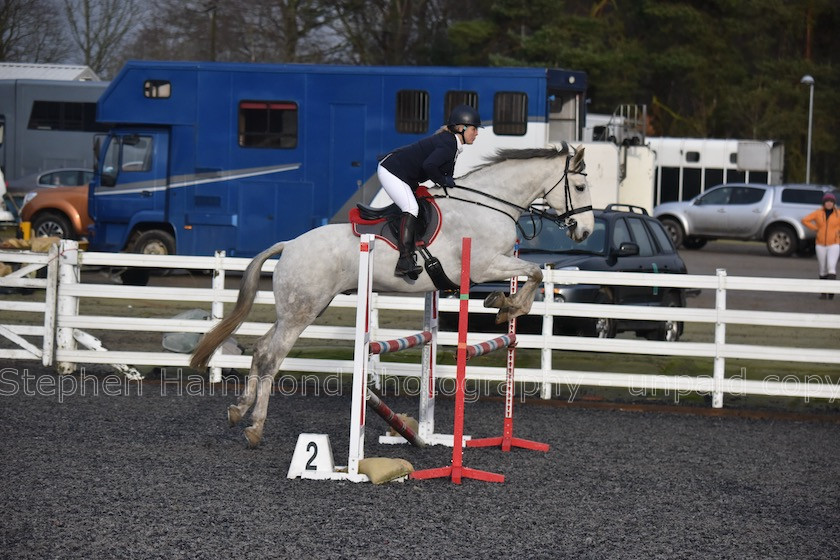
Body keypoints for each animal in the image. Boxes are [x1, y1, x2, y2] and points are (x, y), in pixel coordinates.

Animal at [193, 143, 592, 446]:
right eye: (581, 187)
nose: (585, 231)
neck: (489, 204)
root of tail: (289, 244)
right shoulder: (485, 266)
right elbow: (535, 272)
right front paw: (507, 306)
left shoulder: (497, 263)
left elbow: (533, 272)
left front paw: (505, 306)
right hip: (301, 312)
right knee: (273, 357)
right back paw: (255, 427)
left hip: (300, 309)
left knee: (261, 349)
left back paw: (238, 411)